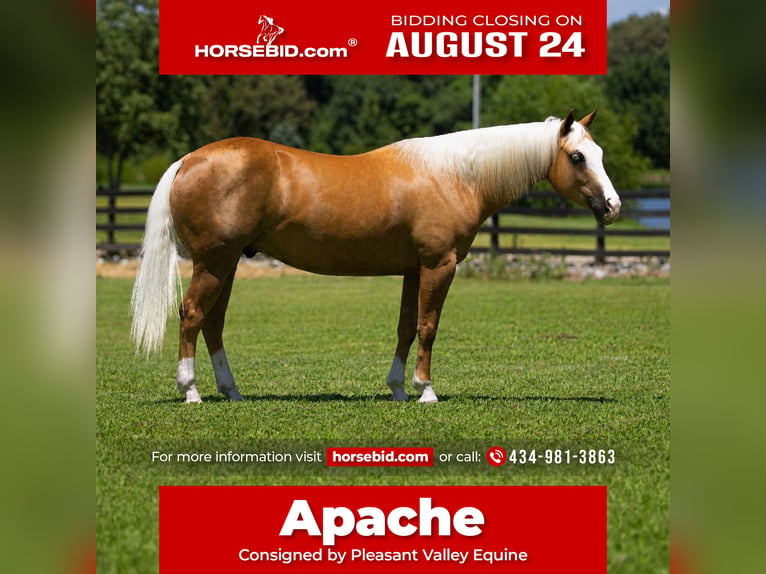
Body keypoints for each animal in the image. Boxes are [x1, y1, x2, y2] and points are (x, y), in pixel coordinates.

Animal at [130, 109, 621, 404]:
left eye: (599, 152)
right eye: (578, 157)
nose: (613, 206)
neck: (455, 174)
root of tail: (188, 160)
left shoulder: (414, 269)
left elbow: (406, 327)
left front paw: (399, 389)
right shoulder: (439, 265)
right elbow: (428, 327)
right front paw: (426, 390)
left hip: (228, 263)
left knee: (212, 322)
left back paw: (232, 391)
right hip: (213, 263)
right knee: (193, 315)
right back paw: (191, 391)